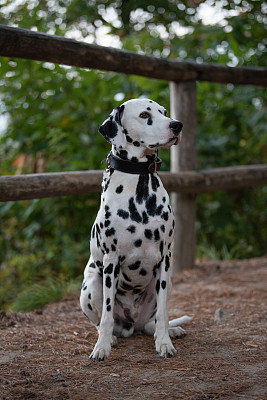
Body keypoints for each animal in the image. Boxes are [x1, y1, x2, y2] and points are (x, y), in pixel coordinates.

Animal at [80, 98, 192, 360]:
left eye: (164, 112)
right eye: (144, 115)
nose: (177, 125)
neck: (138, 186)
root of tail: (131, 325)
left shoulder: (165, 259)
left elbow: (163, 314)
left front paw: (164, 343)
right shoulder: (111, 261)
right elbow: (107, 315)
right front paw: (102, 348)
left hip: (166, 284)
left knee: (151, 322)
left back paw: (169, 331)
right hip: (91, 285)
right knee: (100, 321)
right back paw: (109, 337)